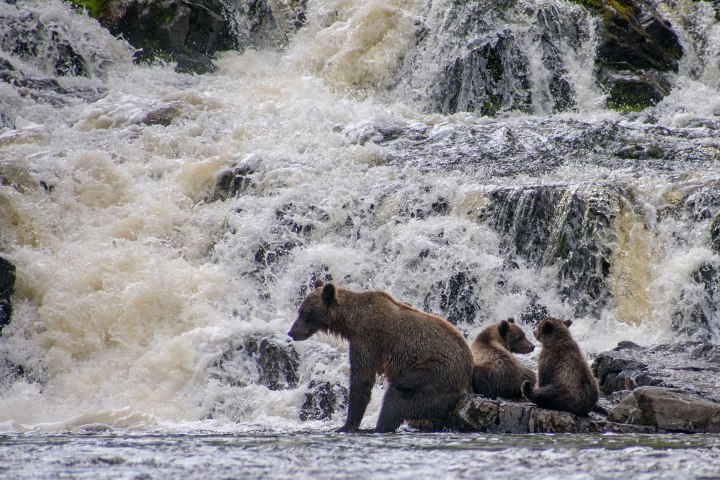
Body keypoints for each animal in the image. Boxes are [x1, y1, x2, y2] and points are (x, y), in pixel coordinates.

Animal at [288, 280, 474, 433]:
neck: (350, 321)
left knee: (397, 397)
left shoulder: (367, 339)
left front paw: (346, 425)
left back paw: (379, 427)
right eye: (300, 311)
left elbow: (362, 379)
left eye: (305, 312)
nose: (292, 332)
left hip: (433, 375)